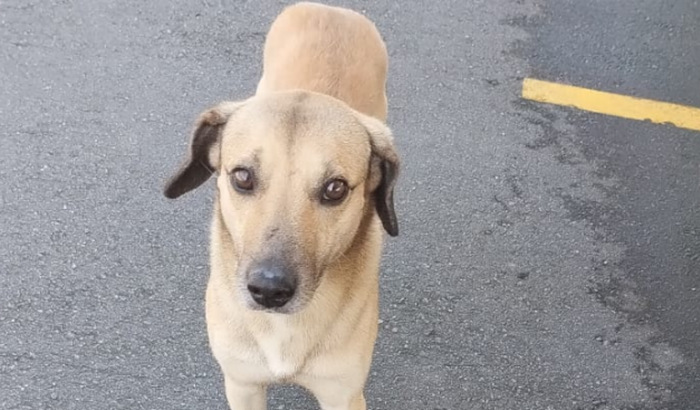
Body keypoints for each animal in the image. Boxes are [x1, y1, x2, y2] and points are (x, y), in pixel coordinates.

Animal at [163, 2, 399, 409]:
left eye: (335, 188)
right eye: (242, 177)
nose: (269, 291)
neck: (282, 329)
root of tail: (330, 9)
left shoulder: (343, 394)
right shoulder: (242, 384)